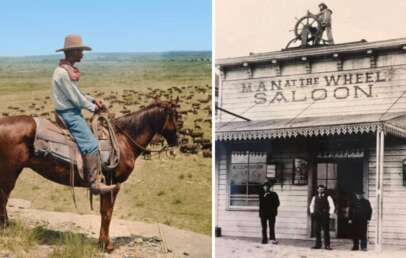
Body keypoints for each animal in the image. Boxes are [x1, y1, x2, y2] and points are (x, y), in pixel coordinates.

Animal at [0, 98, 179, 252]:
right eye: (175, 116)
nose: (176, 142)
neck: (123, 141)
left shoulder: (106, 187)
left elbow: (104, 212)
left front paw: (102, 243)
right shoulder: (112, 185)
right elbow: (107, 214)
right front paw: (107, 246)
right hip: (9, 171)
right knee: (4, 197)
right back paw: (5, 227)